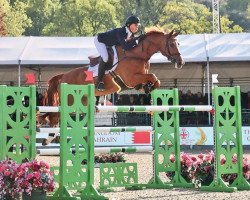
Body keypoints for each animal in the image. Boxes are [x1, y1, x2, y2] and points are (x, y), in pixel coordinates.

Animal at [38, 27, 185, 145]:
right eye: (172, 44)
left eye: (178, 43)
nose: (181, 62)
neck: (137, 55)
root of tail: (63, 76)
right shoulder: (130, 79)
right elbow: (153, 77)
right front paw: (150, 86)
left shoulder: (138, 80)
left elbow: (155, 80)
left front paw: (149, 87)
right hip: (70, 100)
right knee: (56, 116)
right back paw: (49, 138)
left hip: (80, 102)